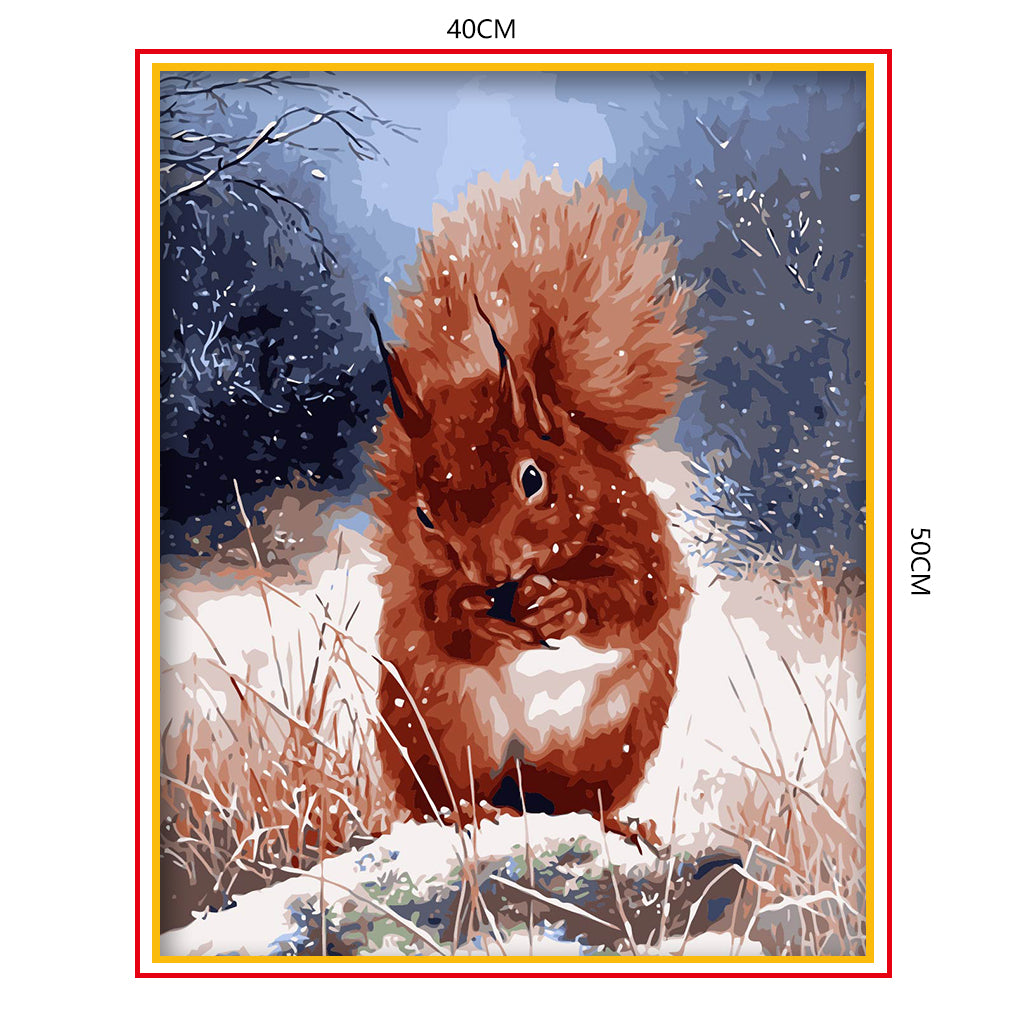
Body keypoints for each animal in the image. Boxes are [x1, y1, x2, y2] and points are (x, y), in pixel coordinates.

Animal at [369, 165, 701, 846]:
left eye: (532, 478)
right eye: (423, 516)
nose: (491, 574)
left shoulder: (635, 530)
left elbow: (634, 593)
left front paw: (565, 604)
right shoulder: (420, 584)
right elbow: (436, 615)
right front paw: (472, 612)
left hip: (614, 740)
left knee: (580, 802)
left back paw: (623, 825)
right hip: (439, 728)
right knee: (442, 796)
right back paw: (471, 812)